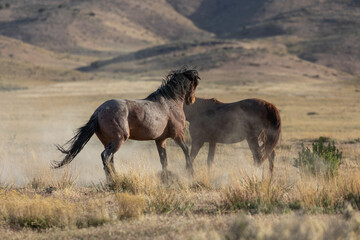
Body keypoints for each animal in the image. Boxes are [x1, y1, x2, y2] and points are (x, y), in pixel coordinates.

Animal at [54, 68, 200, 182]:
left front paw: (165, 178)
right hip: (118, 140)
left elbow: (164, 159)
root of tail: (99, 111)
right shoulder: (178, 135)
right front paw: (190, 172)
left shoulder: (160, 140)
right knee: (106, 156)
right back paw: (114, 180)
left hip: (108, 141)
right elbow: (187, 151)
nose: (191, 100)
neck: (170, 103)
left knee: (109, 159)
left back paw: (113, 179)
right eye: (194, 84)